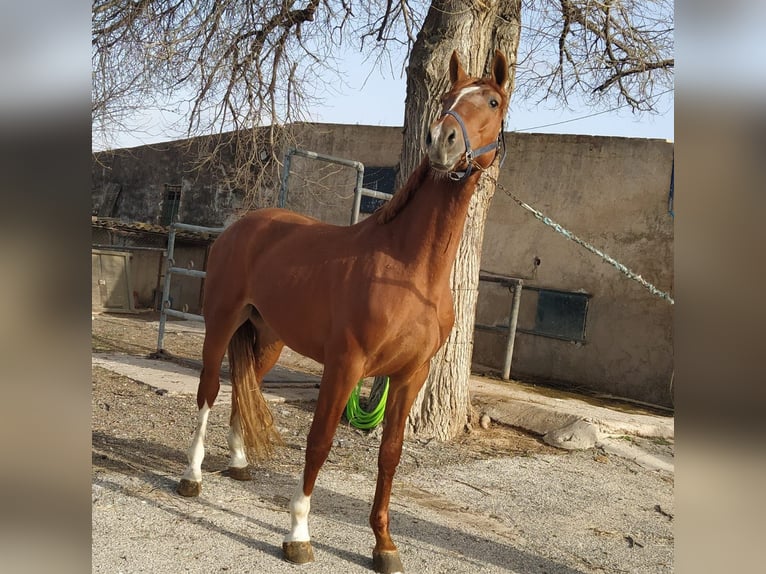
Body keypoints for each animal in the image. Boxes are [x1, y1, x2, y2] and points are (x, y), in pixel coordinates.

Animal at [178, 51, 512, 572]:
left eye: (493, 102)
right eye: (447, 98)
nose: (442, 140)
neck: (408, 270)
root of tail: (242, 225)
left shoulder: (411, 374)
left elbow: (390, 453)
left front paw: (384, 545)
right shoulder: (346, 365)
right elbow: (319, 443)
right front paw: (297, 534)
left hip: (268, 339)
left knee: (242, 385)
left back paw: (238, 463)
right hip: (221, 324)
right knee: (209, 391)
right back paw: (192, 476)